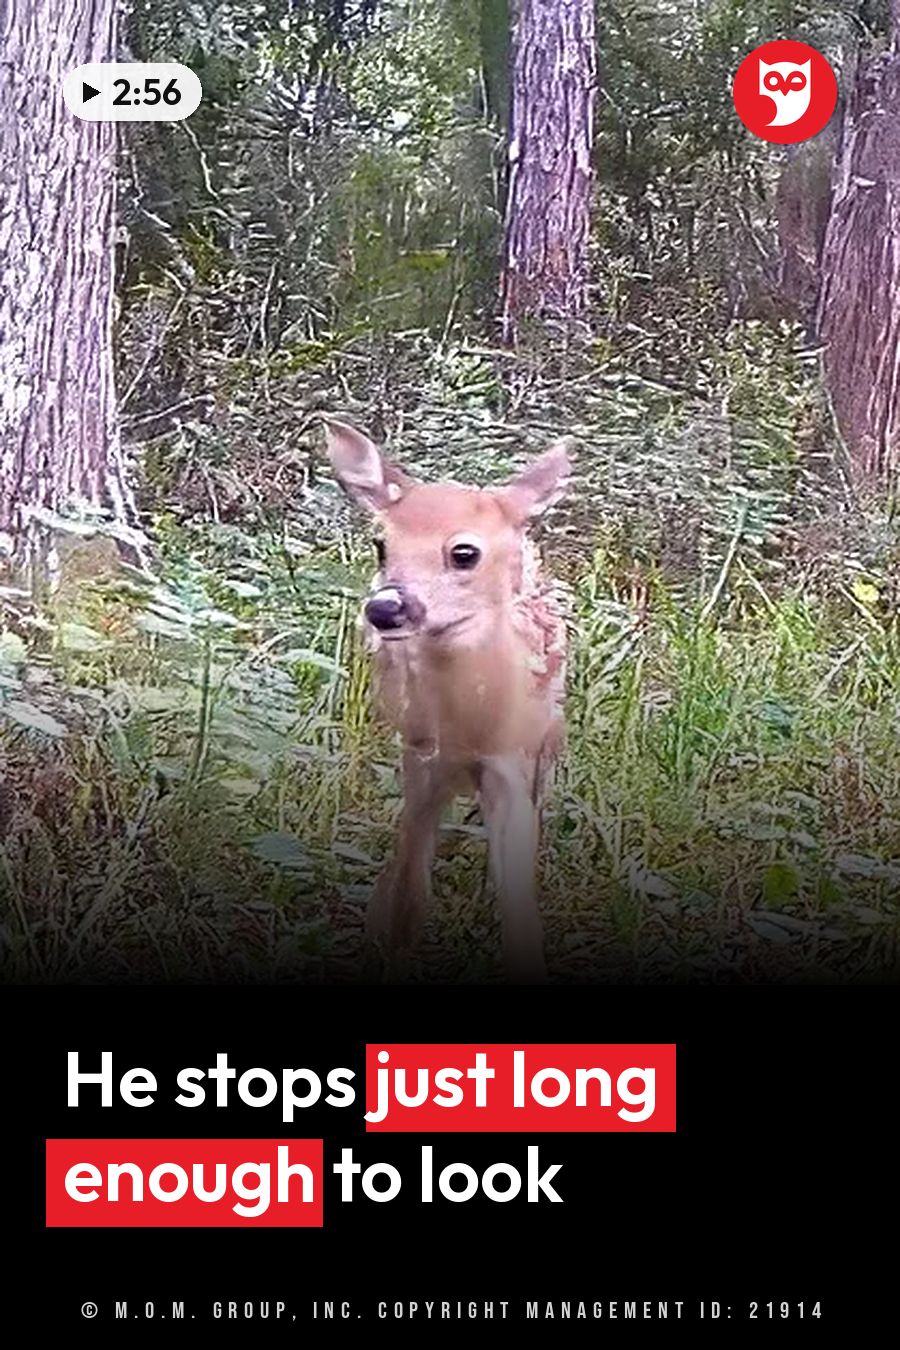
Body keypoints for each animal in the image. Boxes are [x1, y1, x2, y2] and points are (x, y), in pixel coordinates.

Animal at [324, 417, 571, 983]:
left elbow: (519, 907)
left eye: (464, 552)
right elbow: (408, 895)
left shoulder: (512, 761)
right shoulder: (422, 757)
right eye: (380, 545)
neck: (470, 731)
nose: (385, 608)